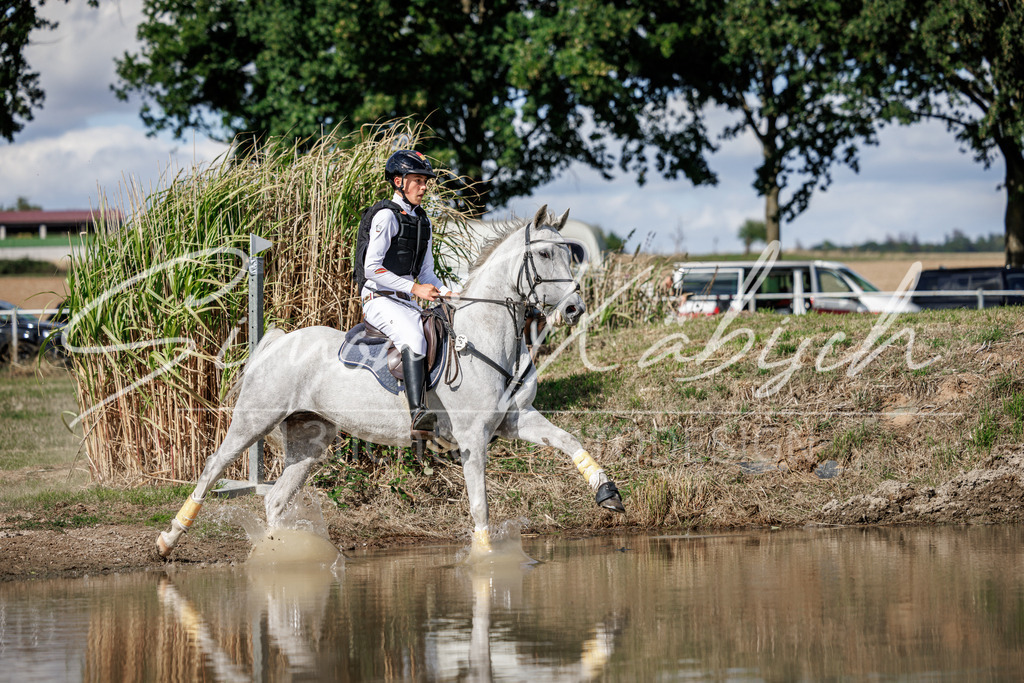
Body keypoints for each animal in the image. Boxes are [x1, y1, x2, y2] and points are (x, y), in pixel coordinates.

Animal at [156, 205, 625, 558]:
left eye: (570, 254)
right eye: (544, 255)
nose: (575, 309)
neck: (488, 335)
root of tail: (278, 342)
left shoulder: (515, 420)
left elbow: (569, 440)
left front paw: (608, 494)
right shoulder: (473, 439)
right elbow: (480, 507)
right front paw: (486, 562)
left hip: (310, 438)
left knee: (275, 499)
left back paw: (281, 554)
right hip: (253, 421)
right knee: (212, 469)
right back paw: (168, 539)